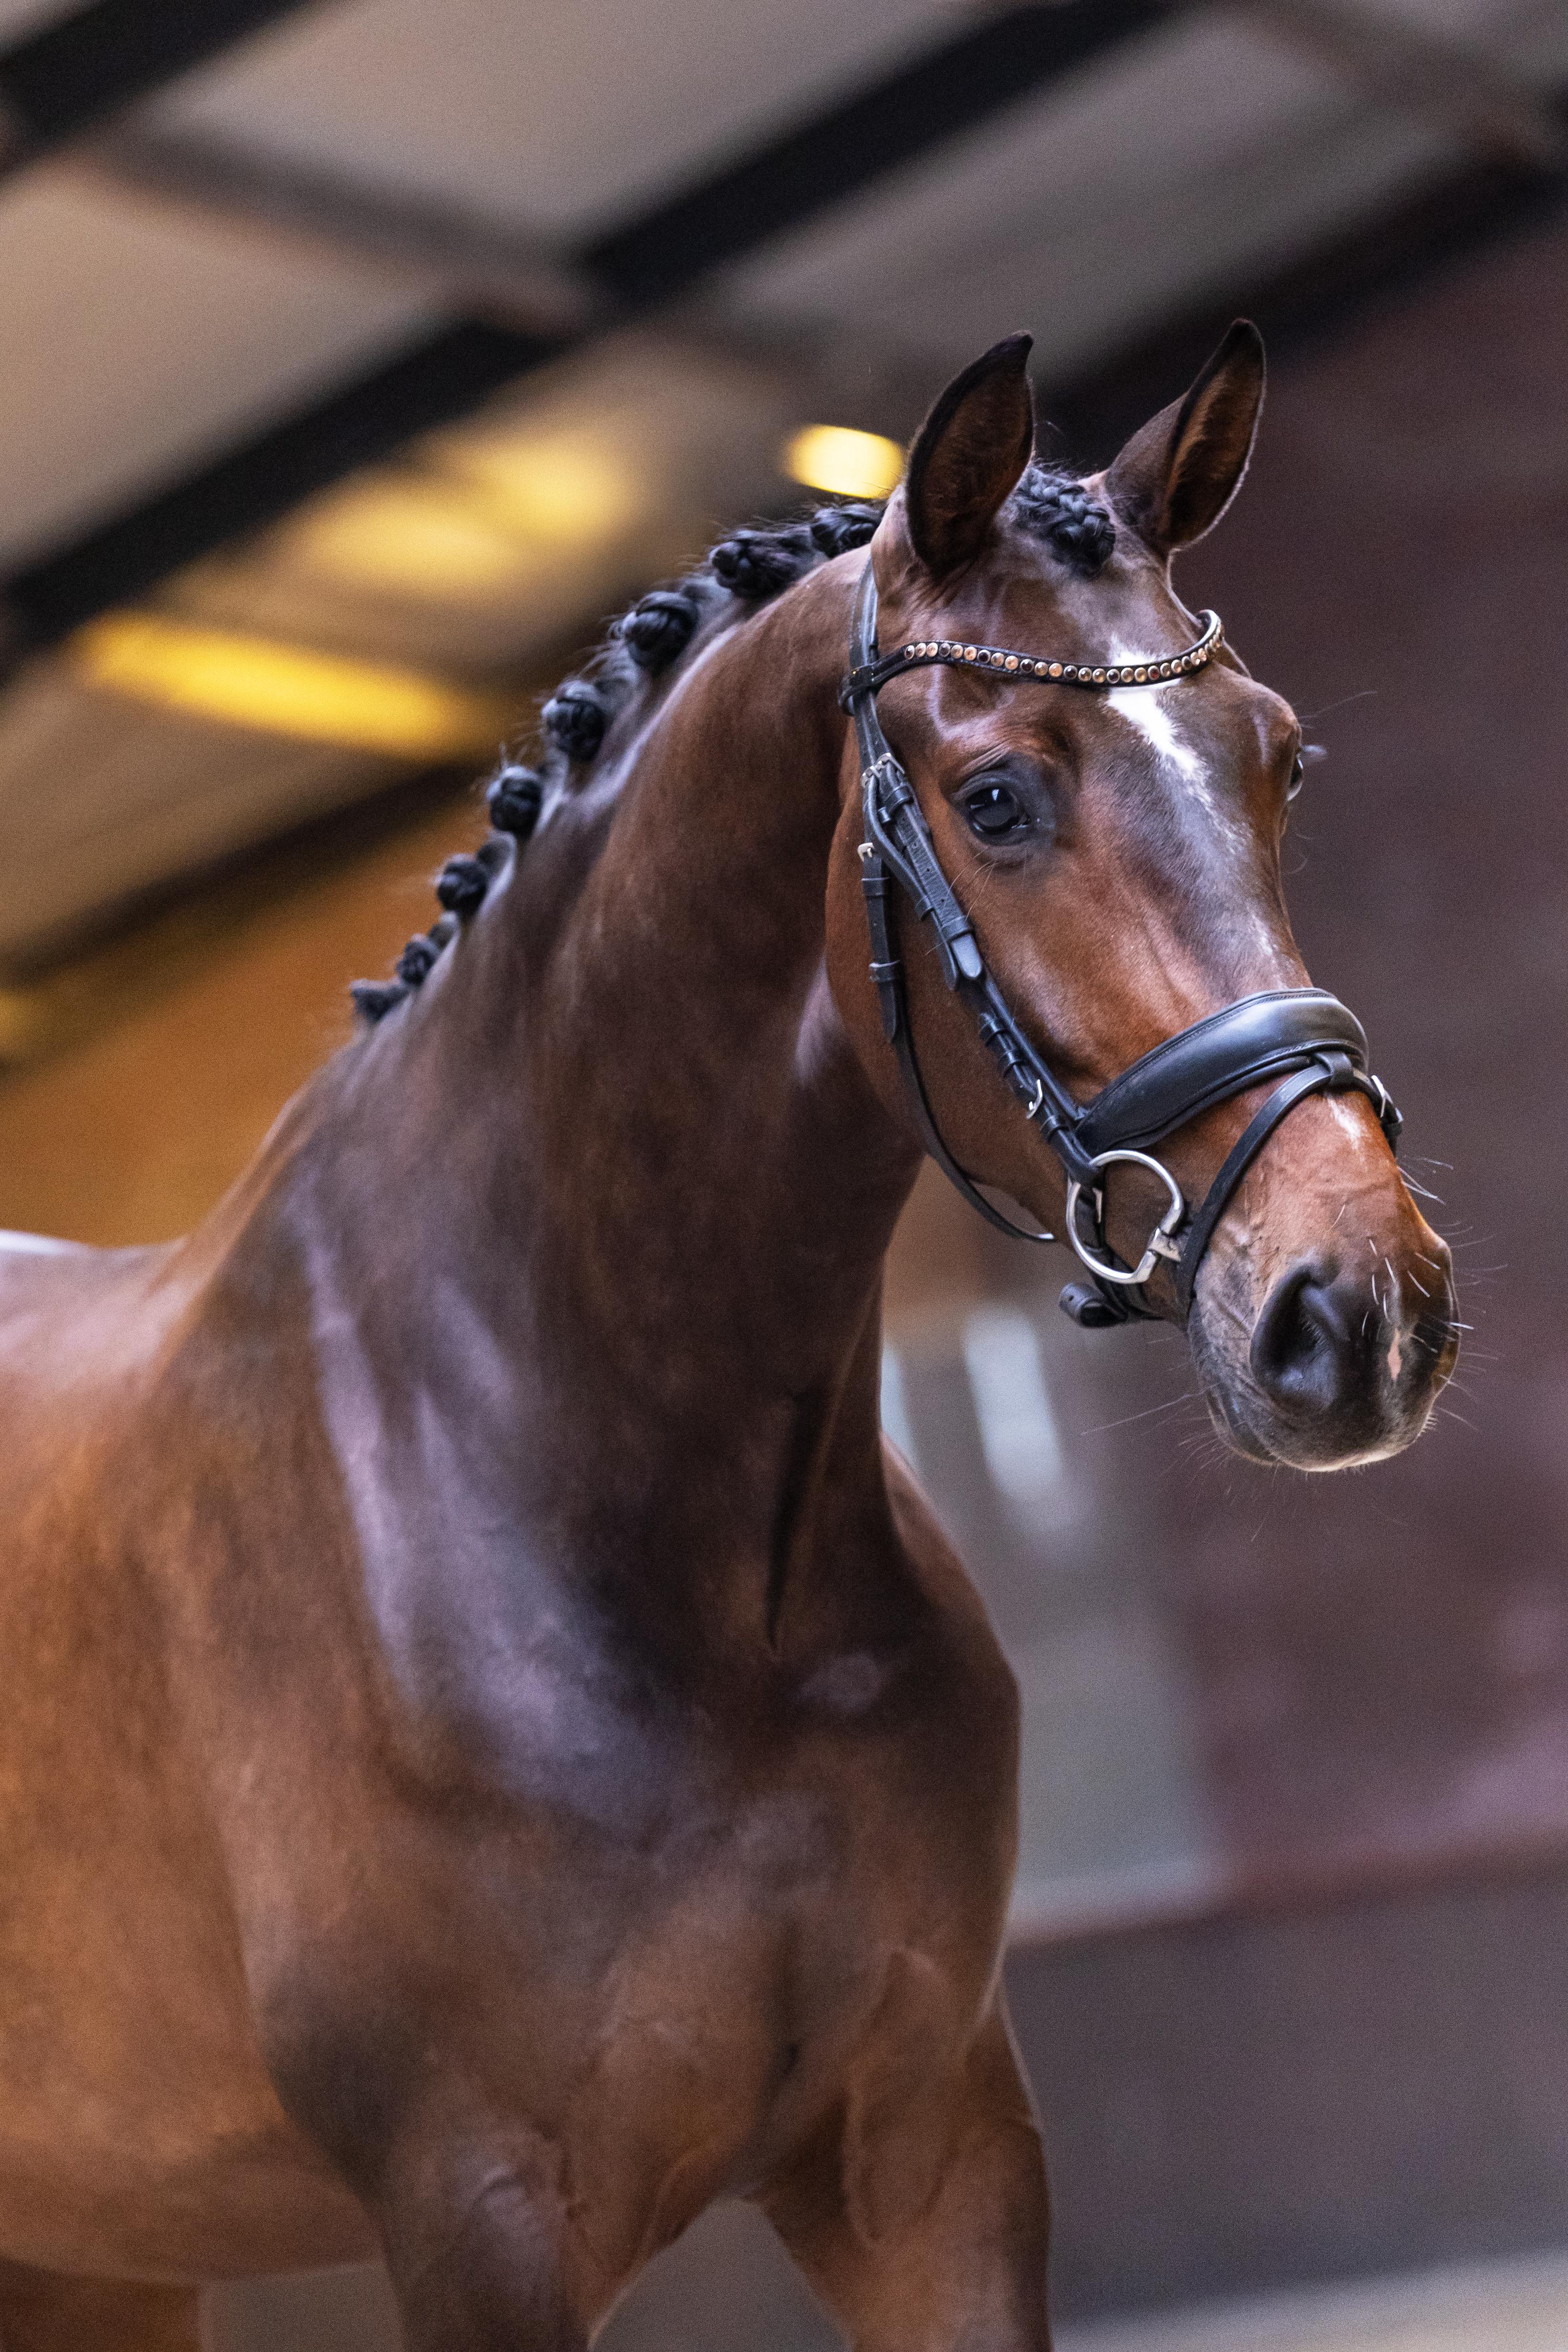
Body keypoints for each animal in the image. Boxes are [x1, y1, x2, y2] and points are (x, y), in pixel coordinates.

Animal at [0, 323, 1456, 2351]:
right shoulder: (485, 2217)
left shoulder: (928, 2151)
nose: (1355, 1309)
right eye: (994, 796)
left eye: (1279, 759)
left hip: (98, 2244)